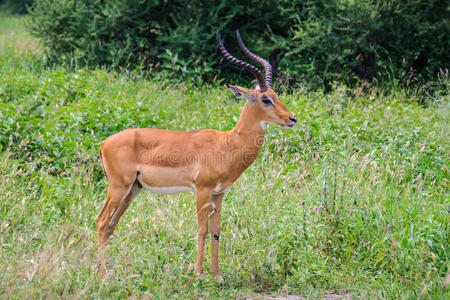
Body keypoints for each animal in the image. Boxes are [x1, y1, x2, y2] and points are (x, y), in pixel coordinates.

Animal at [96, 30, 296, 278]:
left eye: (276, 95)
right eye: (265, 99)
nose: (292, 119)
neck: (227, 144)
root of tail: (104, 143)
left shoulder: (219, 194)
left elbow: (216, 231)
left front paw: (217, 275)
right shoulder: (202, 191)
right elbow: (202, 230)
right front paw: (198, 274)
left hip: (133, 189)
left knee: (111, 225)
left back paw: (109, 270)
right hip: (118, 187)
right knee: (101, 221)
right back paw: (102, 274)